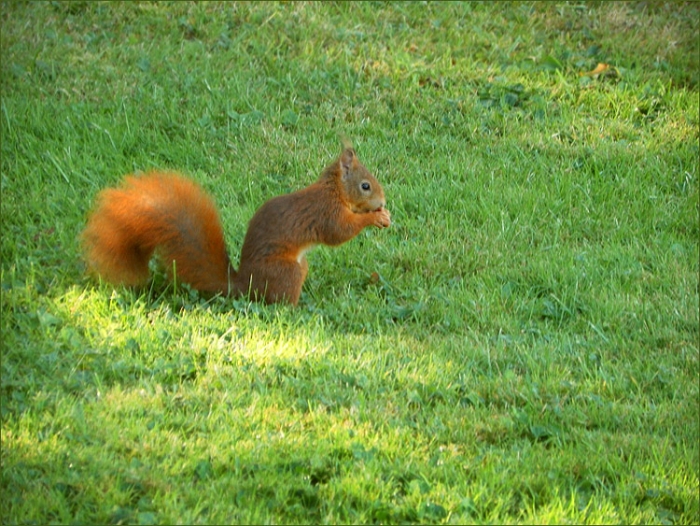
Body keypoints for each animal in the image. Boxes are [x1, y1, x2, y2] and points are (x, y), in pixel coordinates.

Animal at [81, 146, 391, 305]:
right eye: (365, 186)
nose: (383, 201)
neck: (333, 190)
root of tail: (244, 285)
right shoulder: (325, 213)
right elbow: (339, 233)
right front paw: (374, 218)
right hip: (288, 271)